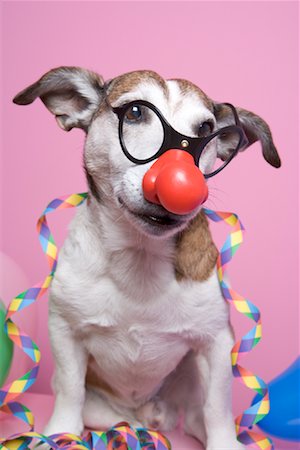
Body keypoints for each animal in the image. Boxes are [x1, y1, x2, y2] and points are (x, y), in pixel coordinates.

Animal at [13, 67, 282, 450]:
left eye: (205, 130)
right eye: (136, 112)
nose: (178, 177)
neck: (139, 254)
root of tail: (147, 415)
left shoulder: (216, 342)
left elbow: (217, 407)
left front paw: (225, 443)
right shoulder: (64, 331)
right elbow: (69, 389)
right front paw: (57, 434)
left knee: (196, 416)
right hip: (107, 411)